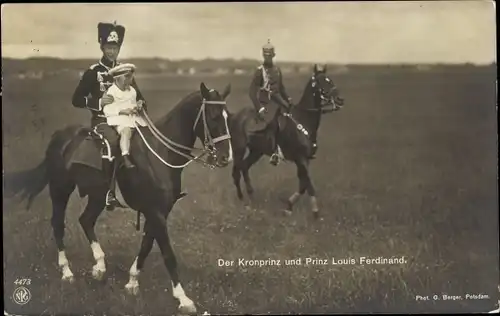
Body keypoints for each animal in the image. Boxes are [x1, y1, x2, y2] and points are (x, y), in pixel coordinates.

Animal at [3, 82, 232, 314]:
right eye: (213, 116)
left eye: (227, 116)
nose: (226, 157)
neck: (159, 154)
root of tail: (60, 136)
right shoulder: (156, 212)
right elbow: (168, 254)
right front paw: (183, 299)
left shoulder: (159, 212)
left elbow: (146, 245)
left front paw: (132, 283)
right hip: (60, 190)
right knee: (58, 224)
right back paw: (67, 272)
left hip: (97, 195)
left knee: (85, 220)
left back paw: (99, 266)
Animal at [229, 65, 344, 220]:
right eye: (321, 82)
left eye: (330, 80)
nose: (340, 100)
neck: (303, 118)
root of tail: (236, 116)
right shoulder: (300, 158)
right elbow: (308, 185)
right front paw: (315, 212)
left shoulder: (305, 160)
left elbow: (303, 185)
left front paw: (289, 206)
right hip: (239, 149)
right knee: (237, 171)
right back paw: (242, 198)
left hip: (256, 151)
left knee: (244, 167)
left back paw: (252, 196)